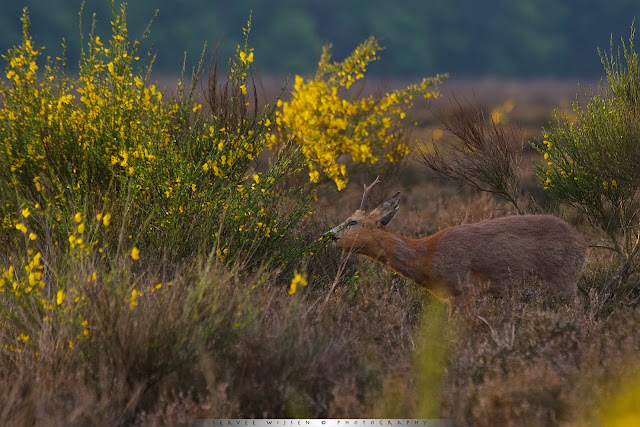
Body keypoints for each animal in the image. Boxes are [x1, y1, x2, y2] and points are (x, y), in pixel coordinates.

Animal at [324, 179, 592, 302]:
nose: (328, 235)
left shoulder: (462, 289)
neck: (428, 255)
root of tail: (583, 244)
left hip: (563, 280)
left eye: (352, 221)